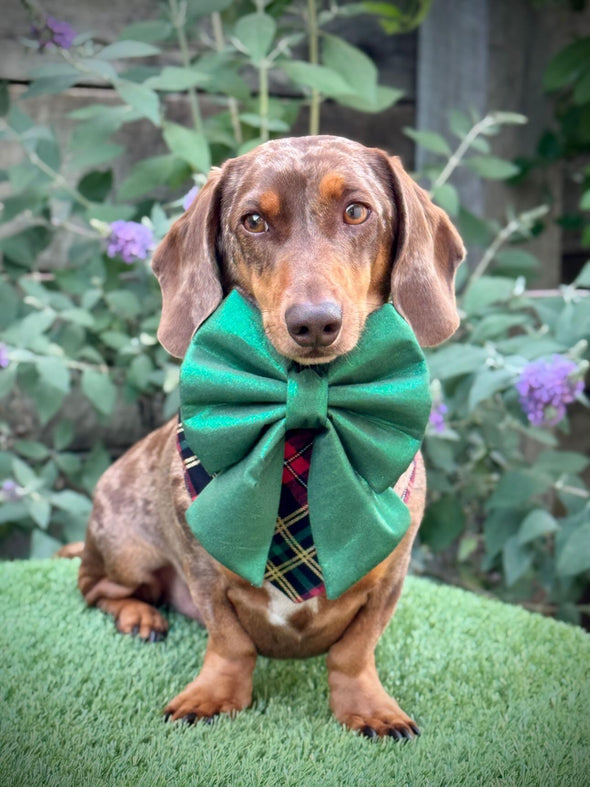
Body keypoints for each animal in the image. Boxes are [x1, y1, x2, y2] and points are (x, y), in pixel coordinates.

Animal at [76, 135, 464, 740]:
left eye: (357, 211)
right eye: (253, 221)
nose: (314, 323)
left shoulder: (390, 578)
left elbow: (354, 651)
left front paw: (368, 706)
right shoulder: (204, 571)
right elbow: (229, 642)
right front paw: (214, 695)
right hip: (126, 552)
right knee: (97, 587)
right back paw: (139, 615)